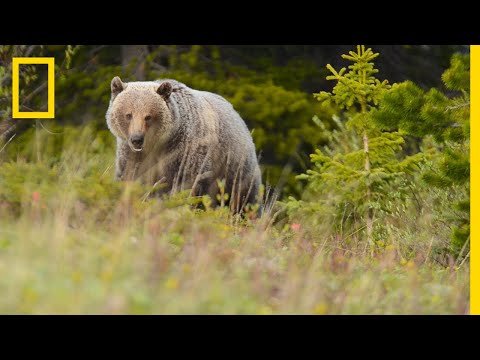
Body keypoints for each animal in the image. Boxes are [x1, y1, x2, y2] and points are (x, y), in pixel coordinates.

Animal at [105, 76, 262, 211]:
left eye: (148, 116)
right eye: (128, 115)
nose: (137, 139)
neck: (159, 143)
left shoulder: (184, 152)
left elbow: (186, 184)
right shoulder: (132, 155)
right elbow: (130, 176)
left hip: (236, 168)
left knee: (245, 199)